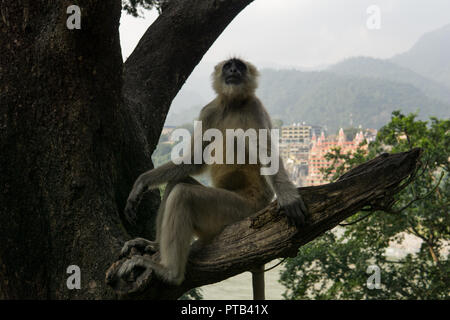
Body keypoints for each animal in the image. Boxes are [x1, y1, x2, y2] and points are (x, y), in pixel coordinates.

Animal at [118, 57, 310, 284]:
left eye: (239, 66)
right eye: (229, 66)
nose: (234, 70)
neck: (233, 104)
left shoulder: (254, 107)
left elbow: (267, 156)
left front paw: (289, 198)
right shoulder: (209, 111)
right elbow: (194, 161)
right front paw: (141, 183)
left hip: (240, 210)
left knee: (184, 193)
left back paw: (170, 273)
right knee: (177, 183)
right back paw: (156, 247)